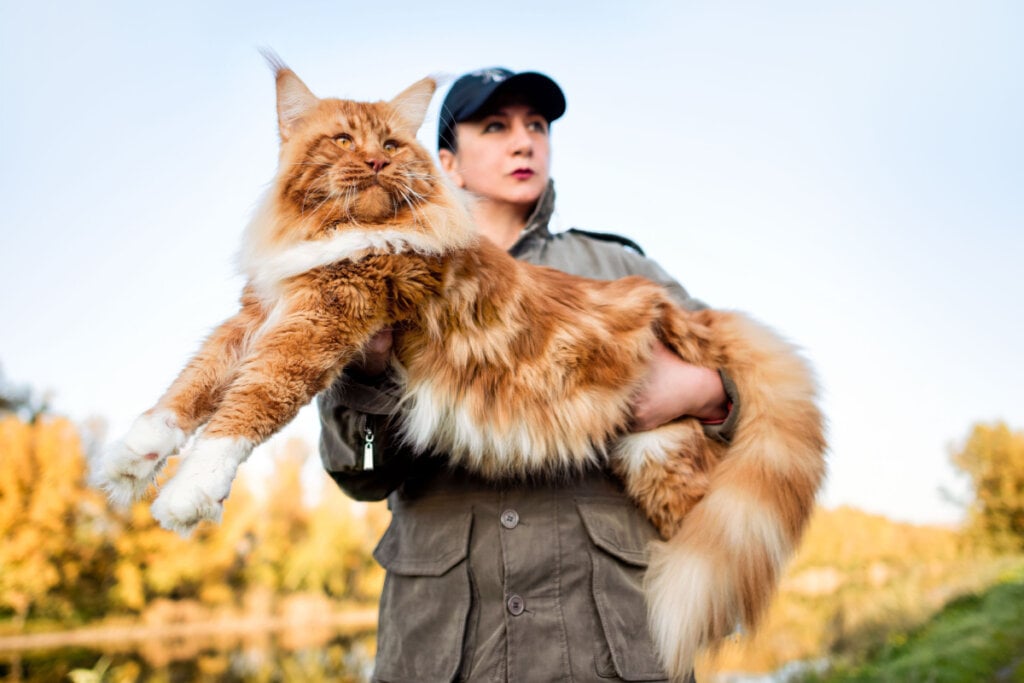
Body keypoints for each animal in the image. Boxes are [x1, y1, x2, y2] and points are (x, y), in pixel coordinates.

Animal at [99, 60, 827, 683]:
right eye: (343, 139)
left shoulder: (323, 316)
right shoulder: (262, 310)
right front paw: (134, 454)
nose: (374, 161)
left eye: (392, 144)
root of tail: (678, 306)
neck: (329, 234)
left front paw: (188, 492)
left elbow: (246, 404)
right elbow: (194, 383)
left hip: (672, 466)